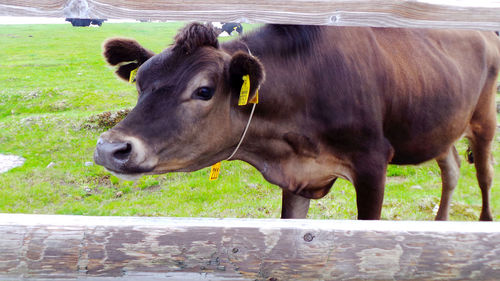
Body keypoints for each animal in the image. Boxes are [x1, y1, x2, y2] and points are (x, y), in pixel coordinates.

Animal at [94, 23, 500, 219]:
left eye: (204, 91)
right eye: (141, 82)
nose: (110, 148)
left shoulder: (372, 163)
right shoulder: (300, 176)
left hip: (483, 121)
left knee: (483, 177)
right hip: (442, 126)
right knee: (451, 170)